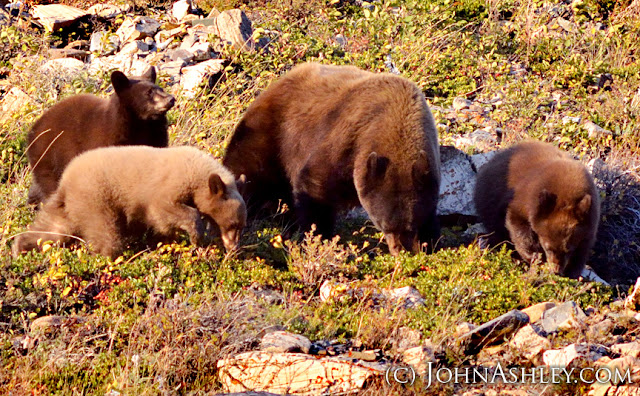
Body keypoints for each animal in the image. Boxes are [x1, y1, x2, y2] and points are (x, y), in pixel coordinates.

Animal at [13, 146, 248, 260]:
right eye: (233, 225)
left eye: (241, 225)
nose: (234, 248)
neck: (196, 171)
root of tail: (65, 182)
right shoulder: (167, 185)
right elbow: (163, 211)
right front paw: (196, 234)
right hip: (96, 198)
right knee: (106, 233)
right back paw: (109, 256)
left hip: (70, 207)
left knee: (54, 229)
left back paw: (20, 245)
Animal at [27, 67, 174, 206]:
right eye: (148, 92)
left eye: (160, 88)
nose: (171, 99)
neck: (141, 126)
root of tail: (33, 129)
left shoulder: (155, 139)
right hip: (48, 157)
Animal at [224, 62, 440, 254]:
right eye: (384, 225)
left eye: (412, 224)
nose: (402, 251)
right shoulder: (345, 141)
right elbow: (314, 186)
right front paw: (316, 236)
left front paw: (430, 241)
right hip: (271, 134)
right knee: (249, 170)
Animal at [472, 141, 604, 280]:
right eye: (547, 247)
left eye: (569, 250)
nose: (556, 270)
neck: (568, 193)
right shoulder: (526, 200)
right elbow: (517, 224)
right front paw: (534, 256)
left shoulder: (590, 220)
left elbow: (583, 248)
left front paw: (573, 271)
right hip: (489, 198)